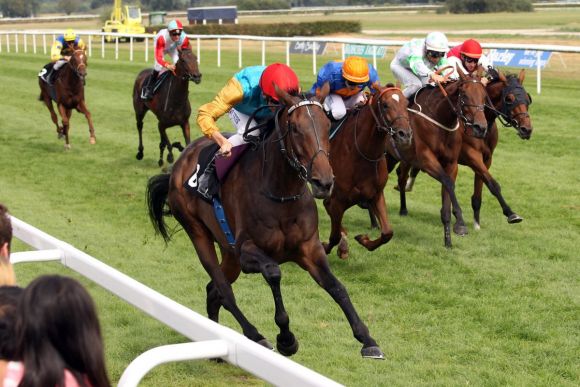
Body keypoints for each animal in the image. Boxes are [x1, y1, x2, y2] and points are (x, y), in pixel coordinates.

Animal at [146, 84, 386, 360]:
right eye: (295, 128)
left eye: (327, 125)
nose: (324, 182)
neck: (281, 194)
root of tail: (180, 163)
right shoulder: (247, 251)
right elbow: (273, 272)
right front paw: (286, 338)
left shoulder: (309, 248)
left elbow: (337, 288)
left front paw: (367, 339)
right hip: (198, 234)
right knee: (224, 290)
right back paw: (255, 336)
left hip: (229, 253)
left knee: (213, 290)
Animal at [322, 85, 412, 260]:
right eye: (385, 105)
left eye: (406, 103)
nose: (405, 135)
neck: (363, 152)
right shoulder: (338, 199)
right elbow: (334, 236)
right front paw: (327, 247)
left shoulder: (375, 194)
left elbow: (387, 233)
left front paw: (363, 239)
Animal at [386, 67, 490, 249]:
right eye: (465, 95)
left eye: (484, 96)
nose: (480, 127)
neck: (440, 119)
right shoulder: (427, 160)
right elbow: (447, 182)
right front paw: (460, 224)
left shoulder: (451, 164)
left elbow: (448, 189)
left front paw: (448, 240)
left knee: (401, 177)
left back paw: (402, 209)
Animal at [392, 69, 532, 230]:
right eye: (509, 98)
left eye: (528, 98)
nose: (527, 129)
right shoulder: (471, 155)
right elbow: (492, 183)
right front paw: (510, 213)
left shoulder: (486, 159)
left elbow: (482, 187)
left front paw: (477, 223)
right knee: (402, 176)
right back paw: (403, 208)